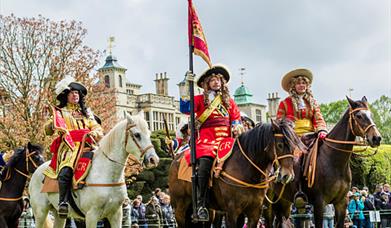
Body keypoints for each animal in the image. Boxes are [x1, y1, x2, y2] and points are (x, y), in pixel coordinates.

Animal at [28, 112, 161, 228]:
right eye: (137, 135)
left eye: (149, 133)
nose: (153, 159)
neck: (108, 174)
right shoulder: (91, 215)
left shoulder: (116, 214)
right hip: (40, 212)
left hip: (59, 215)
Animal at [169, 118, 306, 227]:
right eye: (280, 145)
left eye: (294, 146)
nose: (287, 176)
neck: (248, 171)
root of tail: (176, 159)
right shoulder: (232, 212)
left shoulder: (254, 212)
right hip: (180, 210)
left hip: (210, 212)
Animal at [264, 96, 382, 228]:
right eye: (358, 116)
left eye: (371, 114)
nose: (376, 138)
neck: (334, 162)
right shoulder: (319, 203)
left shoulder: (341, 203)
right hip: (267, 204)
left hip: (283, 202)